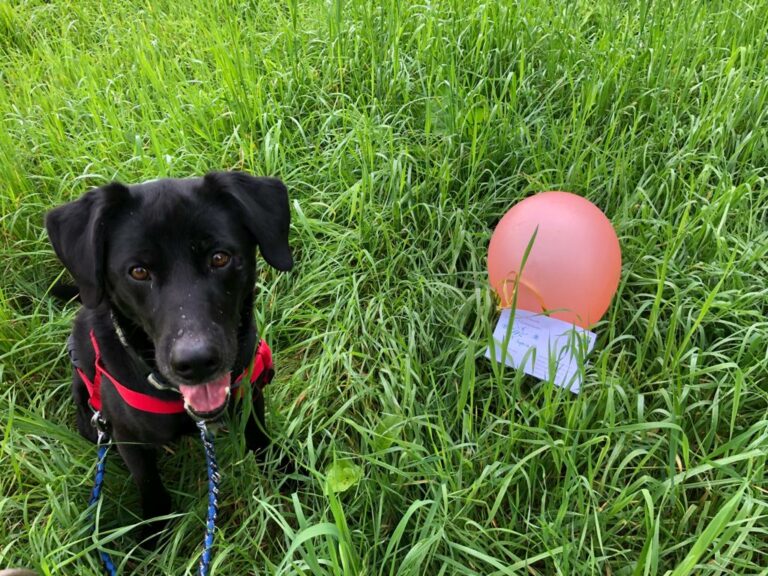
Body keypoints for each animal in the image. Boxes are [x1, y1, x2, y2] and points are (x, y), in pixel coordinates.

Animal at [45, 171, 292, 544]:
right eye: (138, 272)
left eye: (220, 258)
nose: (197, 362)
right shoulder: (126, 437)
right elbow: (148, 482)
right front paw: (153, 531)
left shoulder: (250, 392)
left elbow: (259, 437)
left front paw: (286, 474)